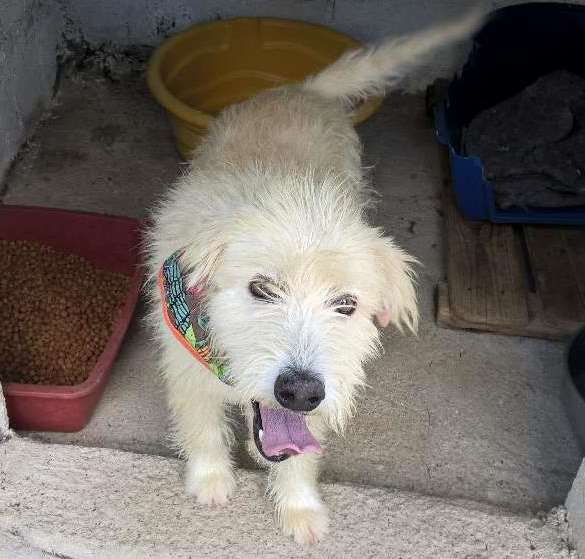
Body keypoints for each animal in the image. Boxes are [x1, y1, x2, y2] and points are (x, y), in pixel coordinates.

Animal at [145, 11, 481, 544]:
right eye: (262, 288)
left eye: (345, 304)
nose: (300, 392)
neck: (291, 197)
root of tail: (301, 90)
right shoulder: (183, 364)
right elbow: (202, 426)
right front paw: (210, 481)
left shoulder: (333, 379)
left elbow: (300, 457)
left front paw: (300, 508)